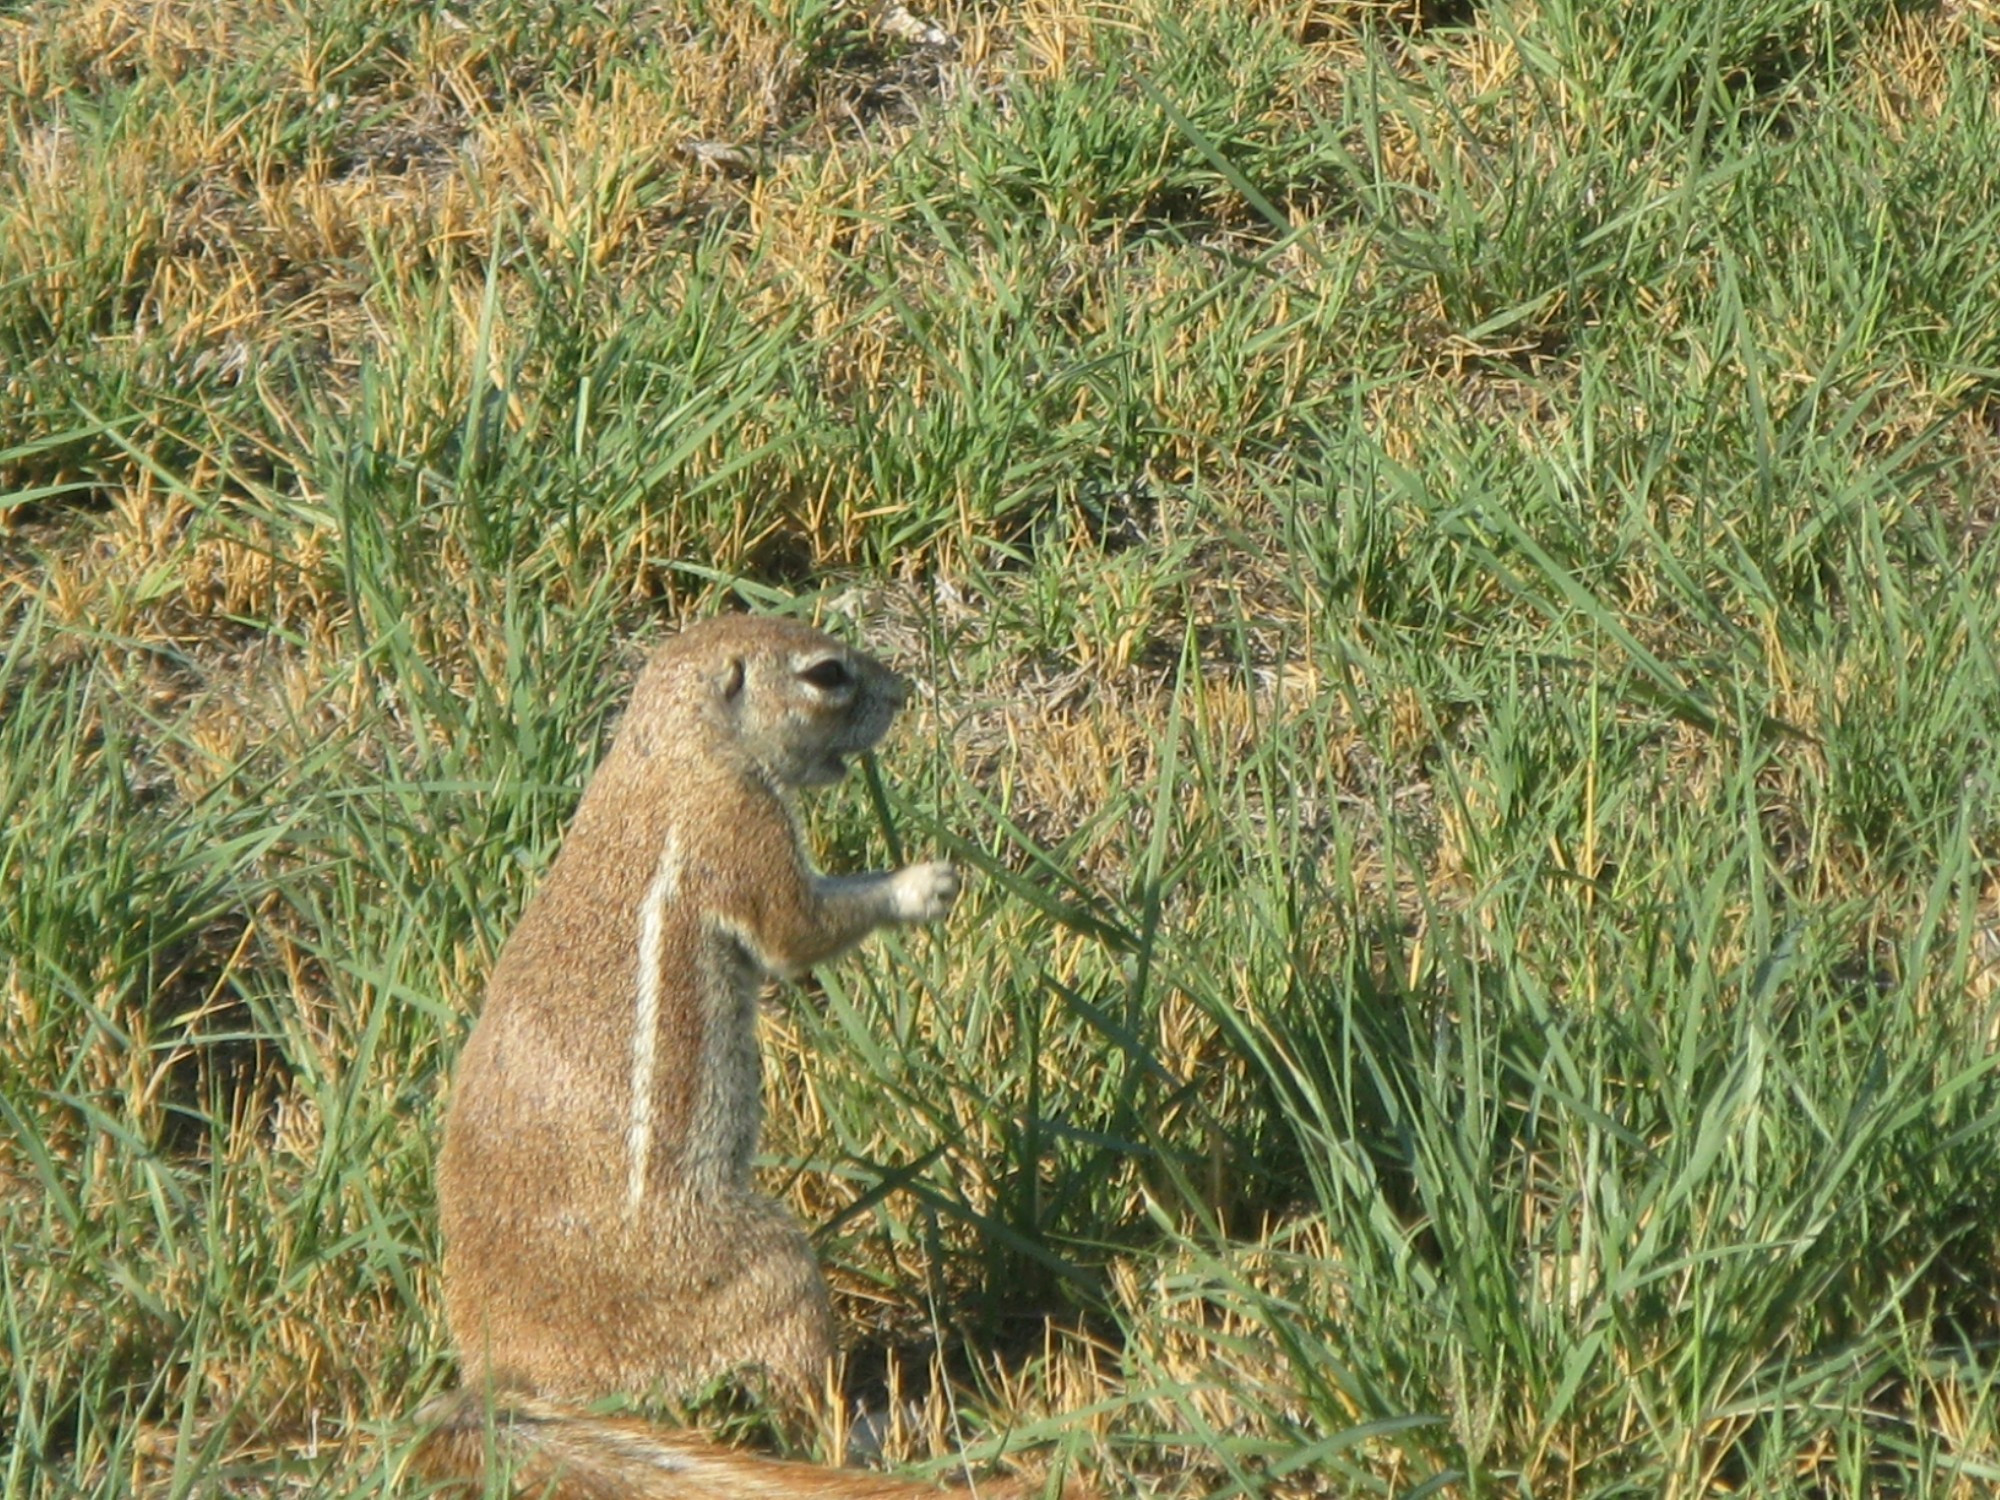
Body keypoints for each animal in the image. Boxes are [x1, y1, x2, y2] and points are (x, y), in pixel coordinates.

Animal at [422, 616, 976, 1496]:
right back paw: (880, 1430)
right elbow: (796, 931)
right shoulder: (739, 828)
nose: (901, 692)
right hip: (768, 1266)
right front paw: (922, 884)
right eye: (827, 675)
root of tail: (497, 1379)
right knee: (802, 1406)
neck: (669, 750)